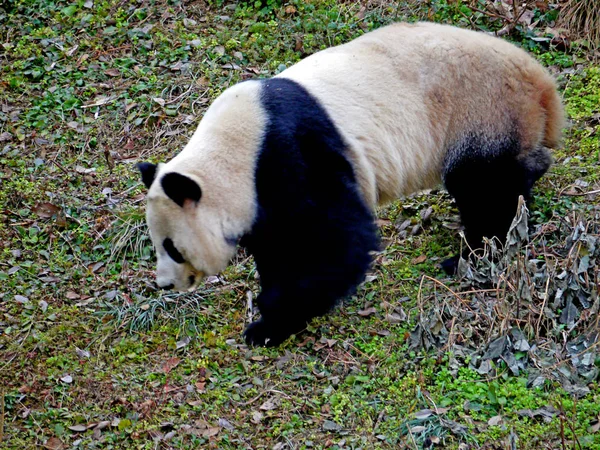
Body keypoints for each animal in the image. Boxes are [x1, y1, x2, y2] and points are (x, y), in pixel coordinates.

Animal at [136, 22, 564, 348]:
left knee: (485, 189)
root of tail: (539, 79)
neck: (232, 153)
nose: (164, 284)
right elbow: (278, 244)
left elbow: (337, 241)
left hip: (479, 111)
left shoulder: (291, 155)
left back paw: (470, 255)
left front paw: (271, 324)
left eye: (171, 247)